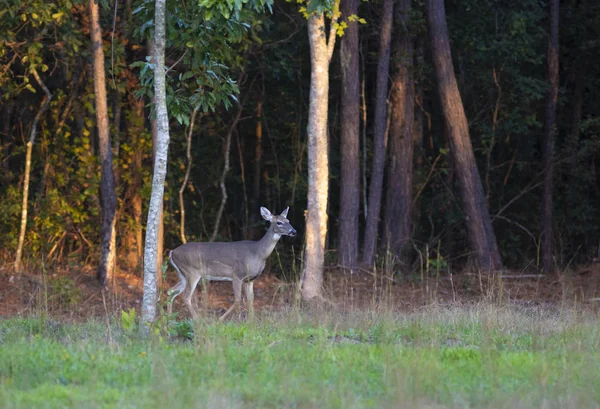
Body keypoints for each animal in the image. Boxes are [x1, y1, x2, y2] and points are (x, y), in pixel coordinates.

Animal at [165, 206, 296, 320]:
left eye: (288, 220)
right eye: (279, 222)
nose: (294, 231)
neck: (258, 253)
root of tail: (172, 252)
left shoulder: (250, 279)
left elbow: (251, 300)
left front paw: (252, 322)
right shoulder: (237, 274)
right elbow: (238, 300)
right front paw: (221, 320)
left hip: (183, 274)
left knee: (171, 291)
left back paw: (169, 319)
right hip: (192, 271)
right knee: (186, 297)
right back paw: (197, 320)